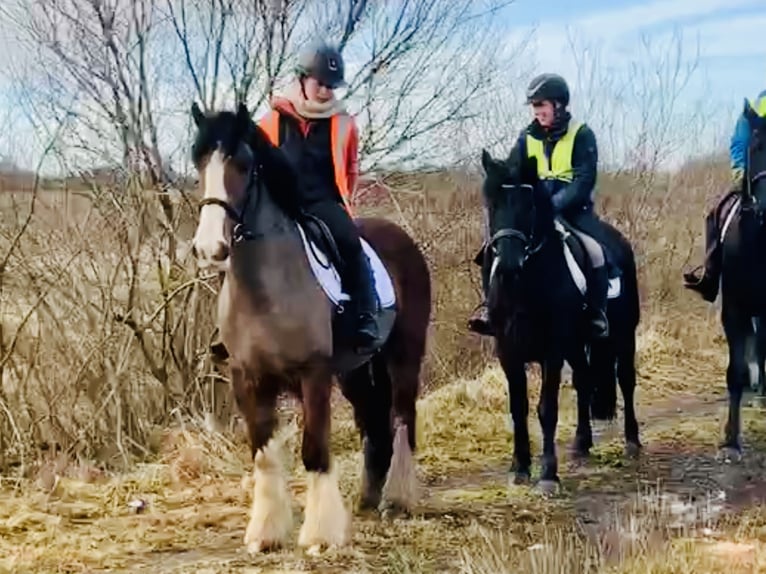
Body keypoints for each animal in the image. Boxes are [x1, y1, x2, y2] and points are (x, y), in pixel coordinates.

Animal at [190, 102, 432, 552]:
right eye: (198, 162)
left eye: (243, 164)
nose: (209, 248)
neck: (266, 287)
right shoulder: (247, 378)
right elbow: (264, 455)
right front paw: (265, 534)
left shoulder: (313, 374)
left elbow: (315, 450)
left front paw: (321, 536)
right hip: (356, 372)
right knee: (375, 422)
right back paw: (369, 499)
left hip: (404, 355)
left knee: (402, 417)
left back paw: (397, 499)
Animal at [480, 146, 640, 492]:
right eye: (492, 204)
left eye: (528, 205)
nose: (509, 266)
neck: (526, 284)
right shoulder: (507, 351)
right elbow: (518, 408)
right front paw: (519, 468)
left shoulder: (551, 351)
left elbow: (547, 409)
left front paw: (548, 475)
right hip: (577, 345)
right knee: (584, 380)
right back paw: (581, 444)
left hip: (623, 335)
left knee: (626, 381)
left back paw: (633, 442)